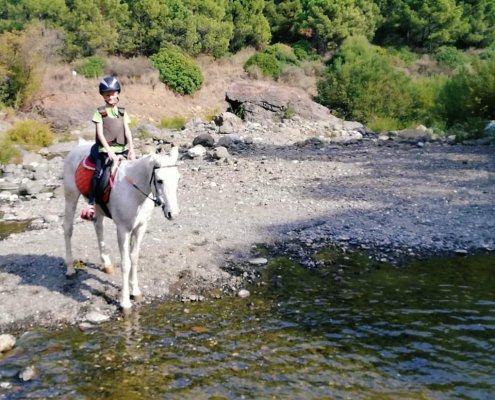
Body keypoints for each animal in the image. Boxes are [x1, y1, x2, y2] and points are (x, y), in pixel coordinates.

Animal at [63, 144, 180, 310]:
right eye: (160, 180)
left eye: (177, 178)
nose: (173, 213)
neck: (134, 192)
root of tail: (77, 147)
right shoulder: (123, 230)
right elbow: (126, 263)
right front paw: (125, 301)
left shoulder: (140, 227)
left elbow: (134, 258)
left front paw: (135, 291)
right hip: (71, 197)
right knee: (68, 229)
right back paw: (70, 269)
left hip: (97, 207)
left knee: (98, 226)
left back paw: (106, 264)